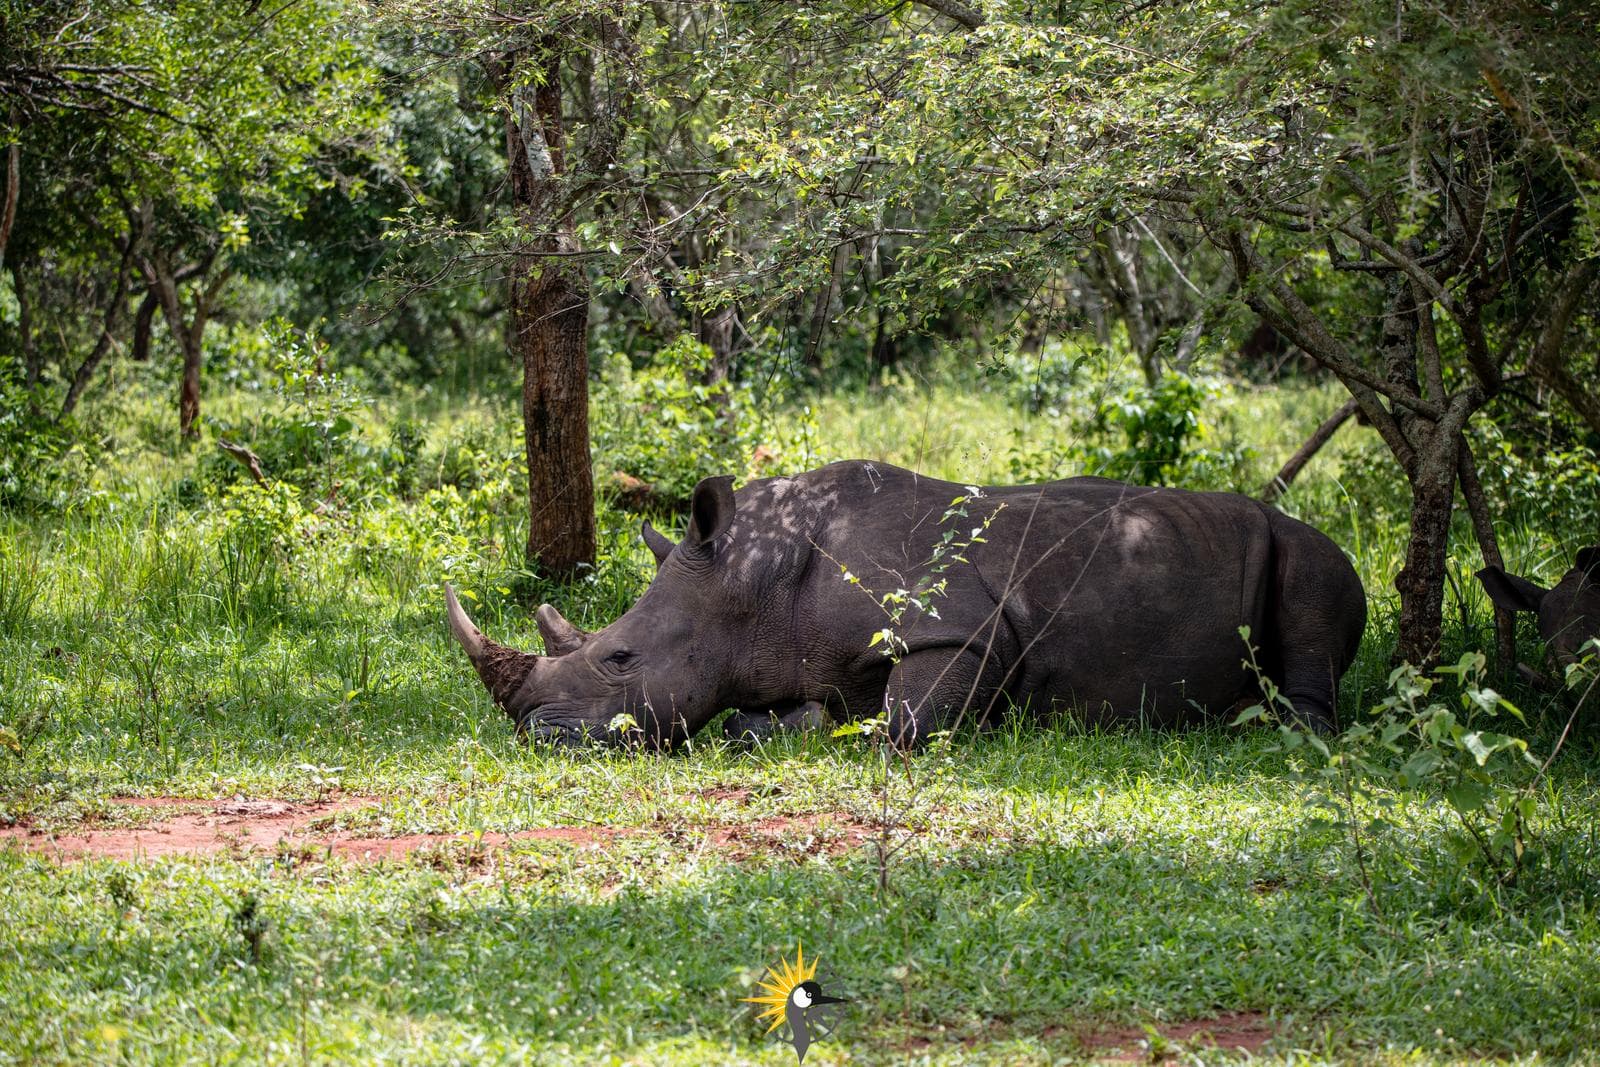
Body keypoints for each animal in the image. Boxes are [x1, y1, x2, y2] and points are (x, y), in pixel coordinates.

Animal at [445, 460, 1367, 748]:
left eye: (619, 657)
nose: (534, 733)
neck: (755, 581)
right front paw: (767, 726)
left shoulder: (965, 631)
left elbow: (901, 721)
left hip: (1313, 547)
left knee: (1315, 584)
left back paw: (1269, 727)